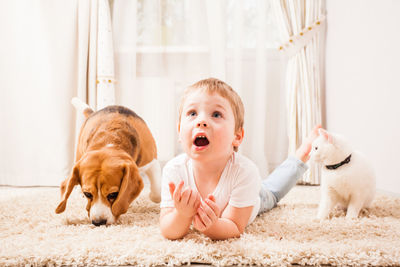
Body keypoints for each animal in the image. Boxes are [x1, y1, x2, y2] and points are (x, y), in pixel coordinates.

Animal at [55, 98, 161, 226]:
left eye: (113, 194)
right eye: (88, 194)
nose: (98, 222)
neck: (110, 140)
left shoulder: (152, 162)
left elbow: (157, 193)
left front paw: (152, 196)